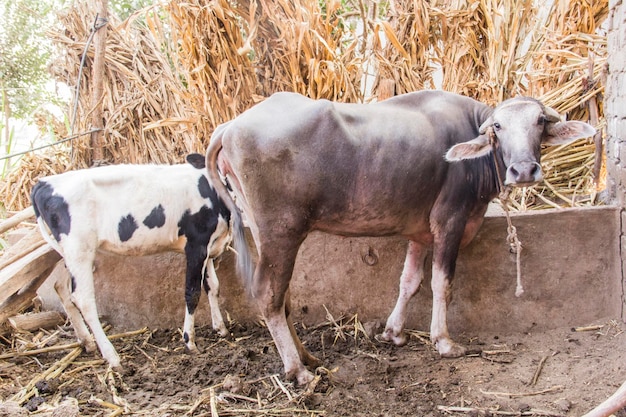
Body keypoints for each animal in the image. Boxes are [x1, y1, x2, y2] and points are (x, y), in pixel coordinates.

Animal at [30, 154, 230, 368]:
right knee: (84, 300)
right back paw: (112, 356)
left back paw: (87, 342)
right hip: (79, 250)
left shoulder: (208, 246)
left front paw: (220, 328)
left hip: (69, 254)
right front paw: (189, 341)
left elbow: (213, 286)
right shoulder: (196, 245)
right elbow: (192, 293)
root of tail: (44, 182)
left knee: (61, 287)